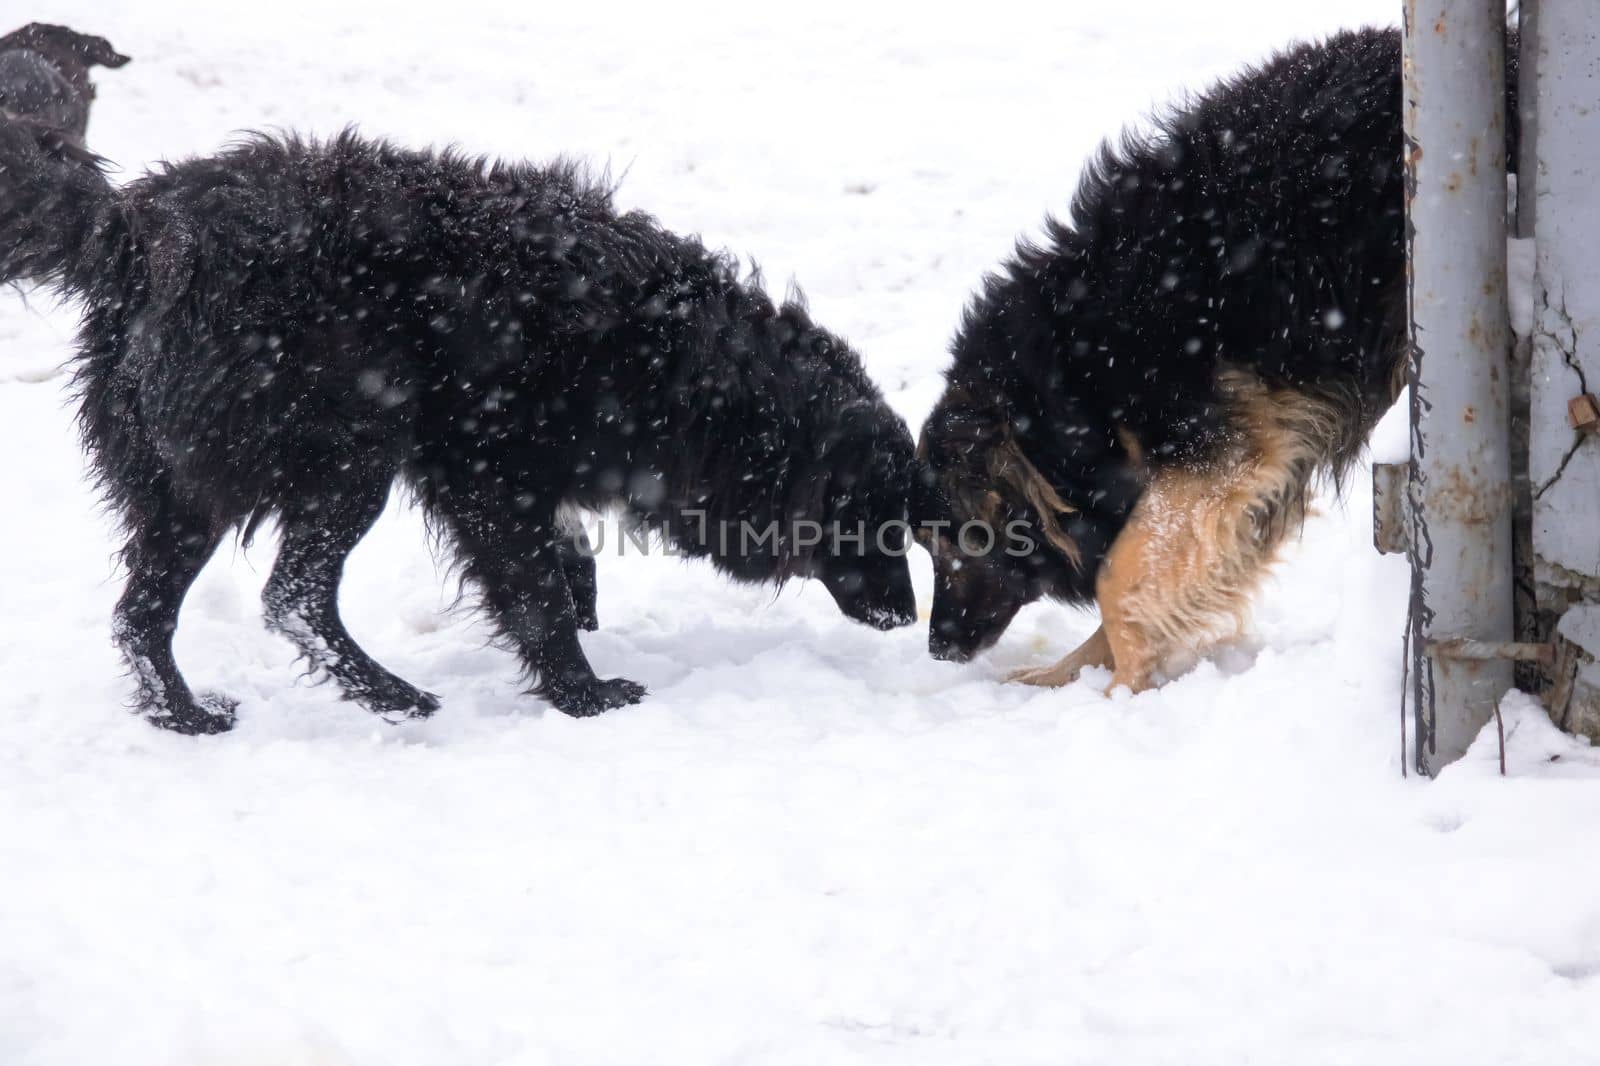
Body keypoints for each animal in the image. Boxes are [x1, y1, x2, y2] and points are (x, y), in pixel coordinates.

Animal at [0, 122, 921, 729]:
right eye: (871, 521)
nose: (910, 618)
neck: (671, 360)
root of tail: (137, 237)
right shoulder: (489, 480)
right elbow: (537, 597)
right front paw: (583, 693)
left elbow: (566, 562)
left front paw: (585, 619)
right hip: (346, 462)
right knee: (293, 597)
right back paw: (393, 696)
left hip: (184, 492)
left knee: (142, 615)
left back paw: (183, 715)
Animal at [921, 29, 1516, 694]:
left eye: (955, 541)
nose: (936, 647)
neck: (1071, 366)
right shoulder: (1259, 460)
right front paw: (1065, 676)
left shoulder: (1219, 452)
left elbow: (1119, 577)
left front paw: (1122, 692)